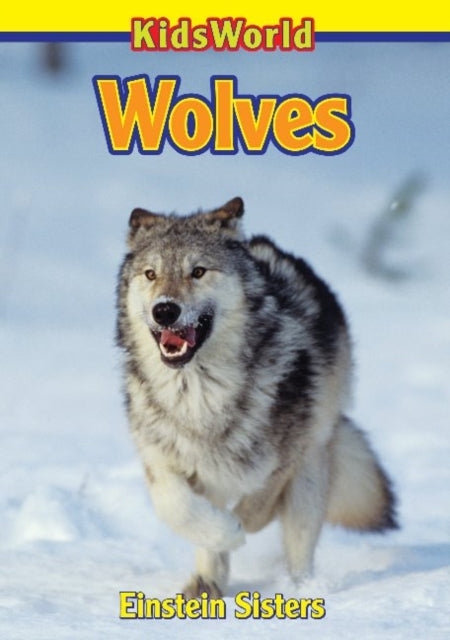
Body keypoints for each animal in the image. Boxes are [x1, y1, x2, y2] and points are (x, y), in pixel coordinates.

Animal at [116, 196, 397, 598]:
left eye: (198, 272)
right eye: (151, 274)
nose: (165, 309)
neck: (200, 393)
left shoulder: (286, 459)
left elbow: (257, 508)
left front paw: (237, 527)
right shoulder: (161, 458)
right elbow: (176, 507)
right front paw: (223, 533)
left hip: (312, 466)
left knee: (298, 543)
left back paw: (299, 590)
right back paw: (205, 585)